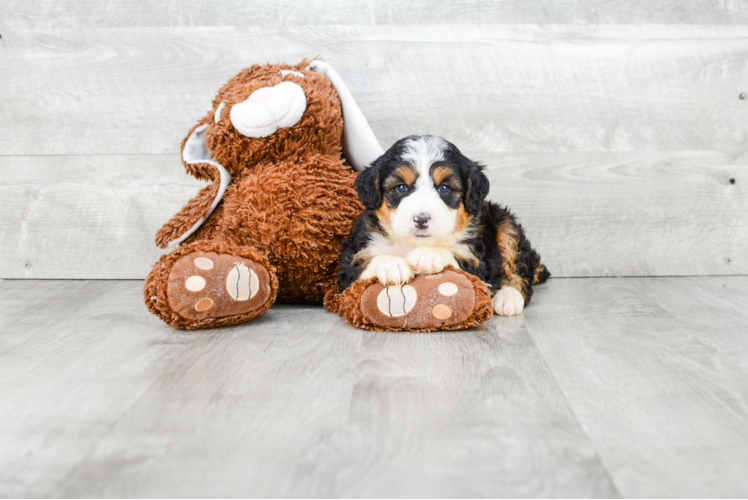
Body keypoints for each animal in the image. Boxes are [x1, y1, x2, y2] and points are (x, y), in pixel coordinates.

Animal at [338, 134, 548, 316]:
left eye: (444, 188)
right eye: (401, 188)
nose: (421, 219)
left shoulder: (478, 262)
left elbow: (454, 257)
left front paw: (427, 255)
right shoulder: (349, 268)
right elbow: (364, 267)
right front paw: (391, 264)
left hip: (505, 224)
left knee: (520, 270)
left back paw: (508, 298)